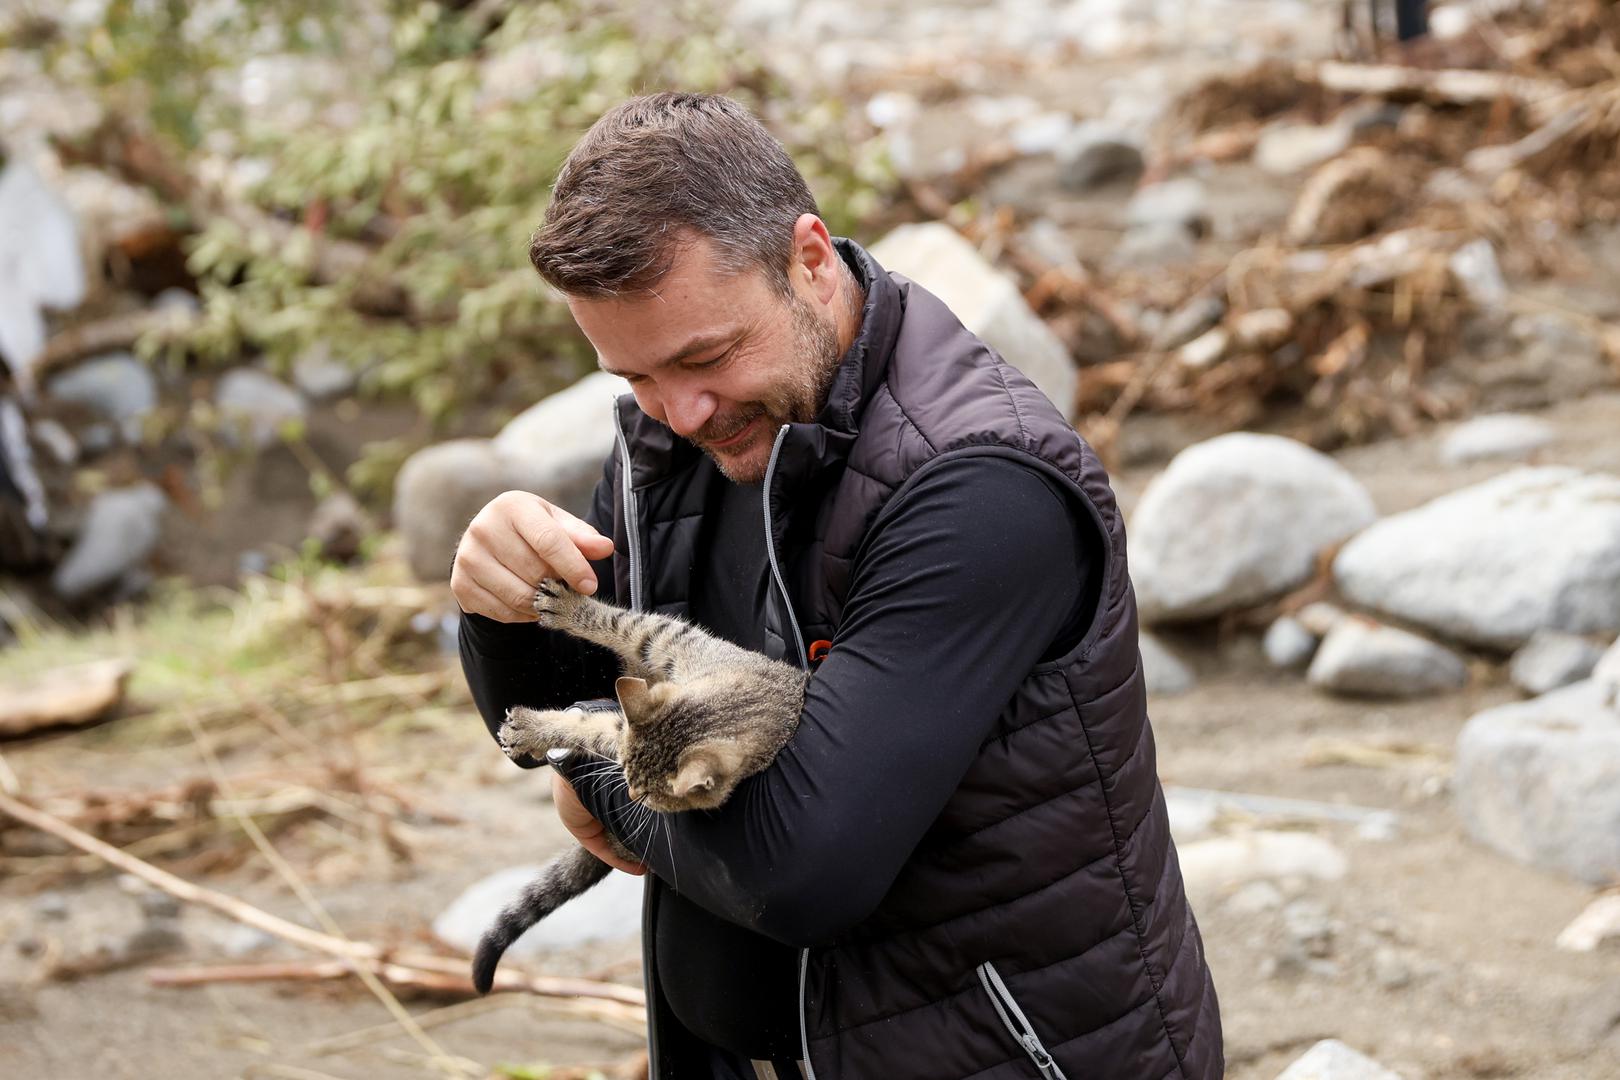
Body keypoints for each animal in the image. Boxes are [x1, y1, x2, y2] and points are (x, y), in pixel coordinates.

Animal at [473, 579, 806, 990]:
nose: (631, 794)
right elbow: (627, 624)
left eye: (645, 791)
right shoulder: (679, 641)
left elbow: (594, 728)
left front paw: (532, 729)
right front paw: (570, 607)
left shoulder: (626, 730)